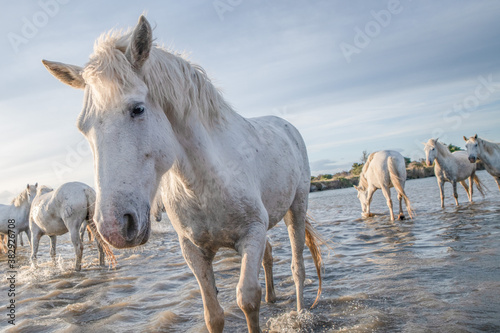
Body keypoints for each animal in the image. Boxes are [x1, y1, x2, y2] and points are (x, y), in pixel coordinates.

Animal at [43, 14, 324, 330]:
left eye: (137, 109)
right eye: (83, 127)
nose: (114, 227)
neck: (204, 183)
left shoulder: (252, 234)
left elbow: (248, 299)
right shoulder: (193, 251)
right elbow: (213, 315)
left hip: (296, 208)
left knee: (298, 266)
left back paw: (300, 313)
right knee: (270, 255)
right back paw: (274, 299)